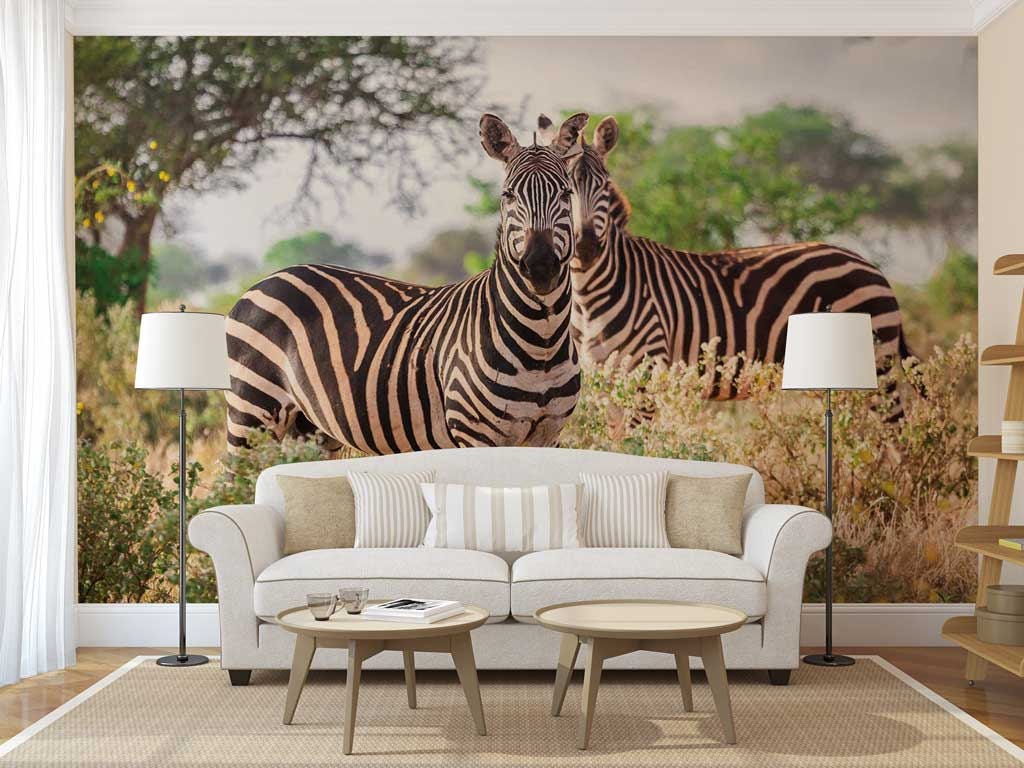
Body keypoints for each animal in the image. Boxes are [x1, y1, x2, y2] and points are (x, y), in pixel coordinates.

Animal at [224, 112, 590, 455]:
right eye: (508, 195)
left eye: (566, 193)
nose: (540, 266)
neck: (541, 343)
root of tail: (267, 280)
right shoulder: (476, 437)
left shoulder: (548, 436)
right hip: (251, 410)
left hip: (309, 426)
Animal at [539, 114, 914, 408]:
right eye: (565, 189)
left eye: (604, 186)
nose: (586, 248)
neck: (589, 297)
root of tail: (871, 266)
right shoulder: (602, 383)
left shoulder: (648, 375)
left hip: (877, 367)